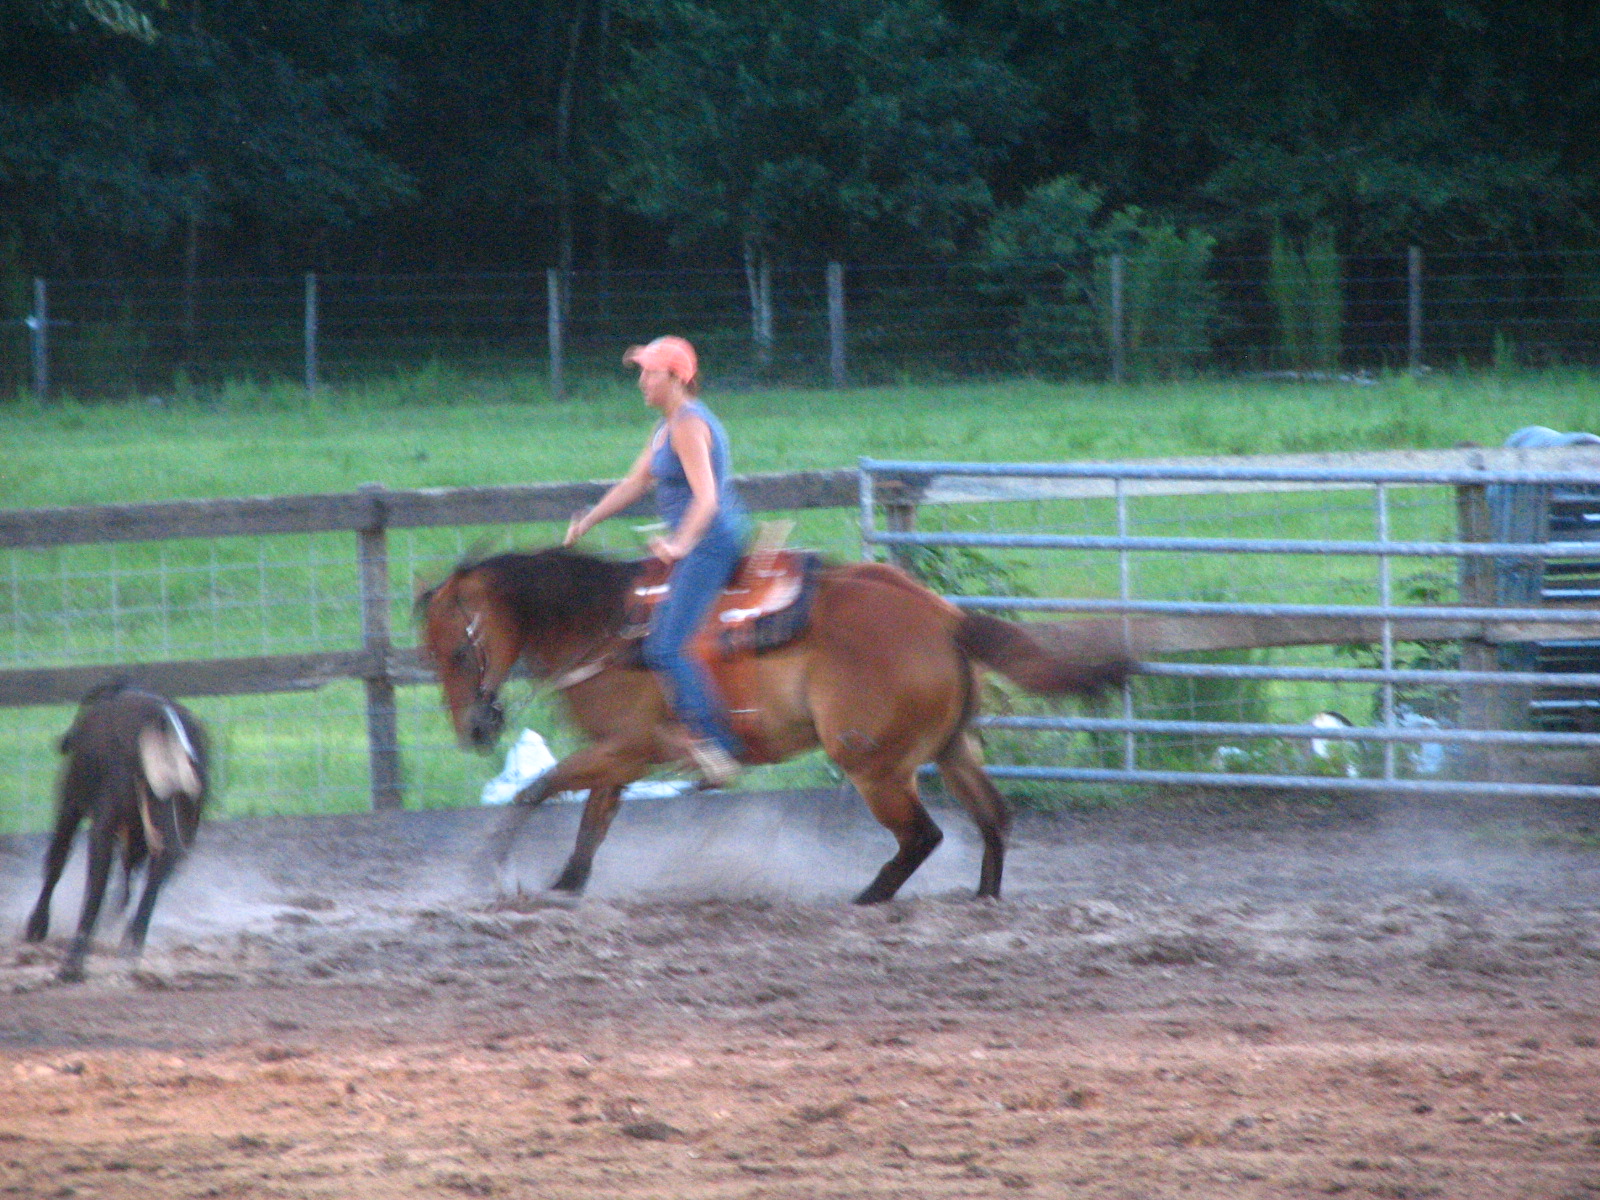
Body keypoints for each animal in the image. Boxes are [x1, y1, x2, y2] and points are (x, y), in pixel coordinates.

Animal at [419, 550, 1132, 908]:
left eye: (456, 652)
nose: (474, 730)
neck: (606, 625)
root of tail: (943, 616)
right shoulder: (622, 755)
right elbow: (593, 817)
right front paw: (567, 884)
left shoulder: (631, 746)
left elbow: (538, 789)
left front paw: (495, 867)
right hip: (954, 750)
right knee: (993, 820)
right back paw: (982, 898)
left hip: (875, 766)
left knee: (922, 836)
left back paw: (866, 897)